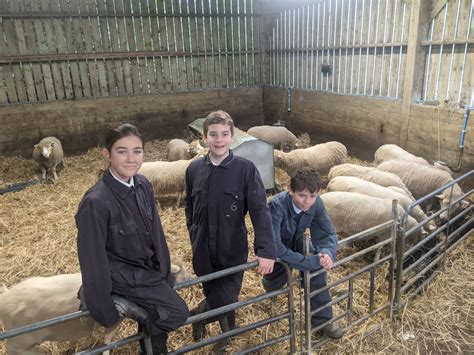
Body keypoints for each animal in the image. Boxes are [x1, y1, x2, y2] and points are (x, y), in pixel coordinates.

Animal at [0, 260, 189, 354]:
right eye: (179, 270)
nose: (191, 276)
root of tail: (5, 299)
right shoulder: (114, 321)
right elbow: (108, 341)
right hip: (21, 340)